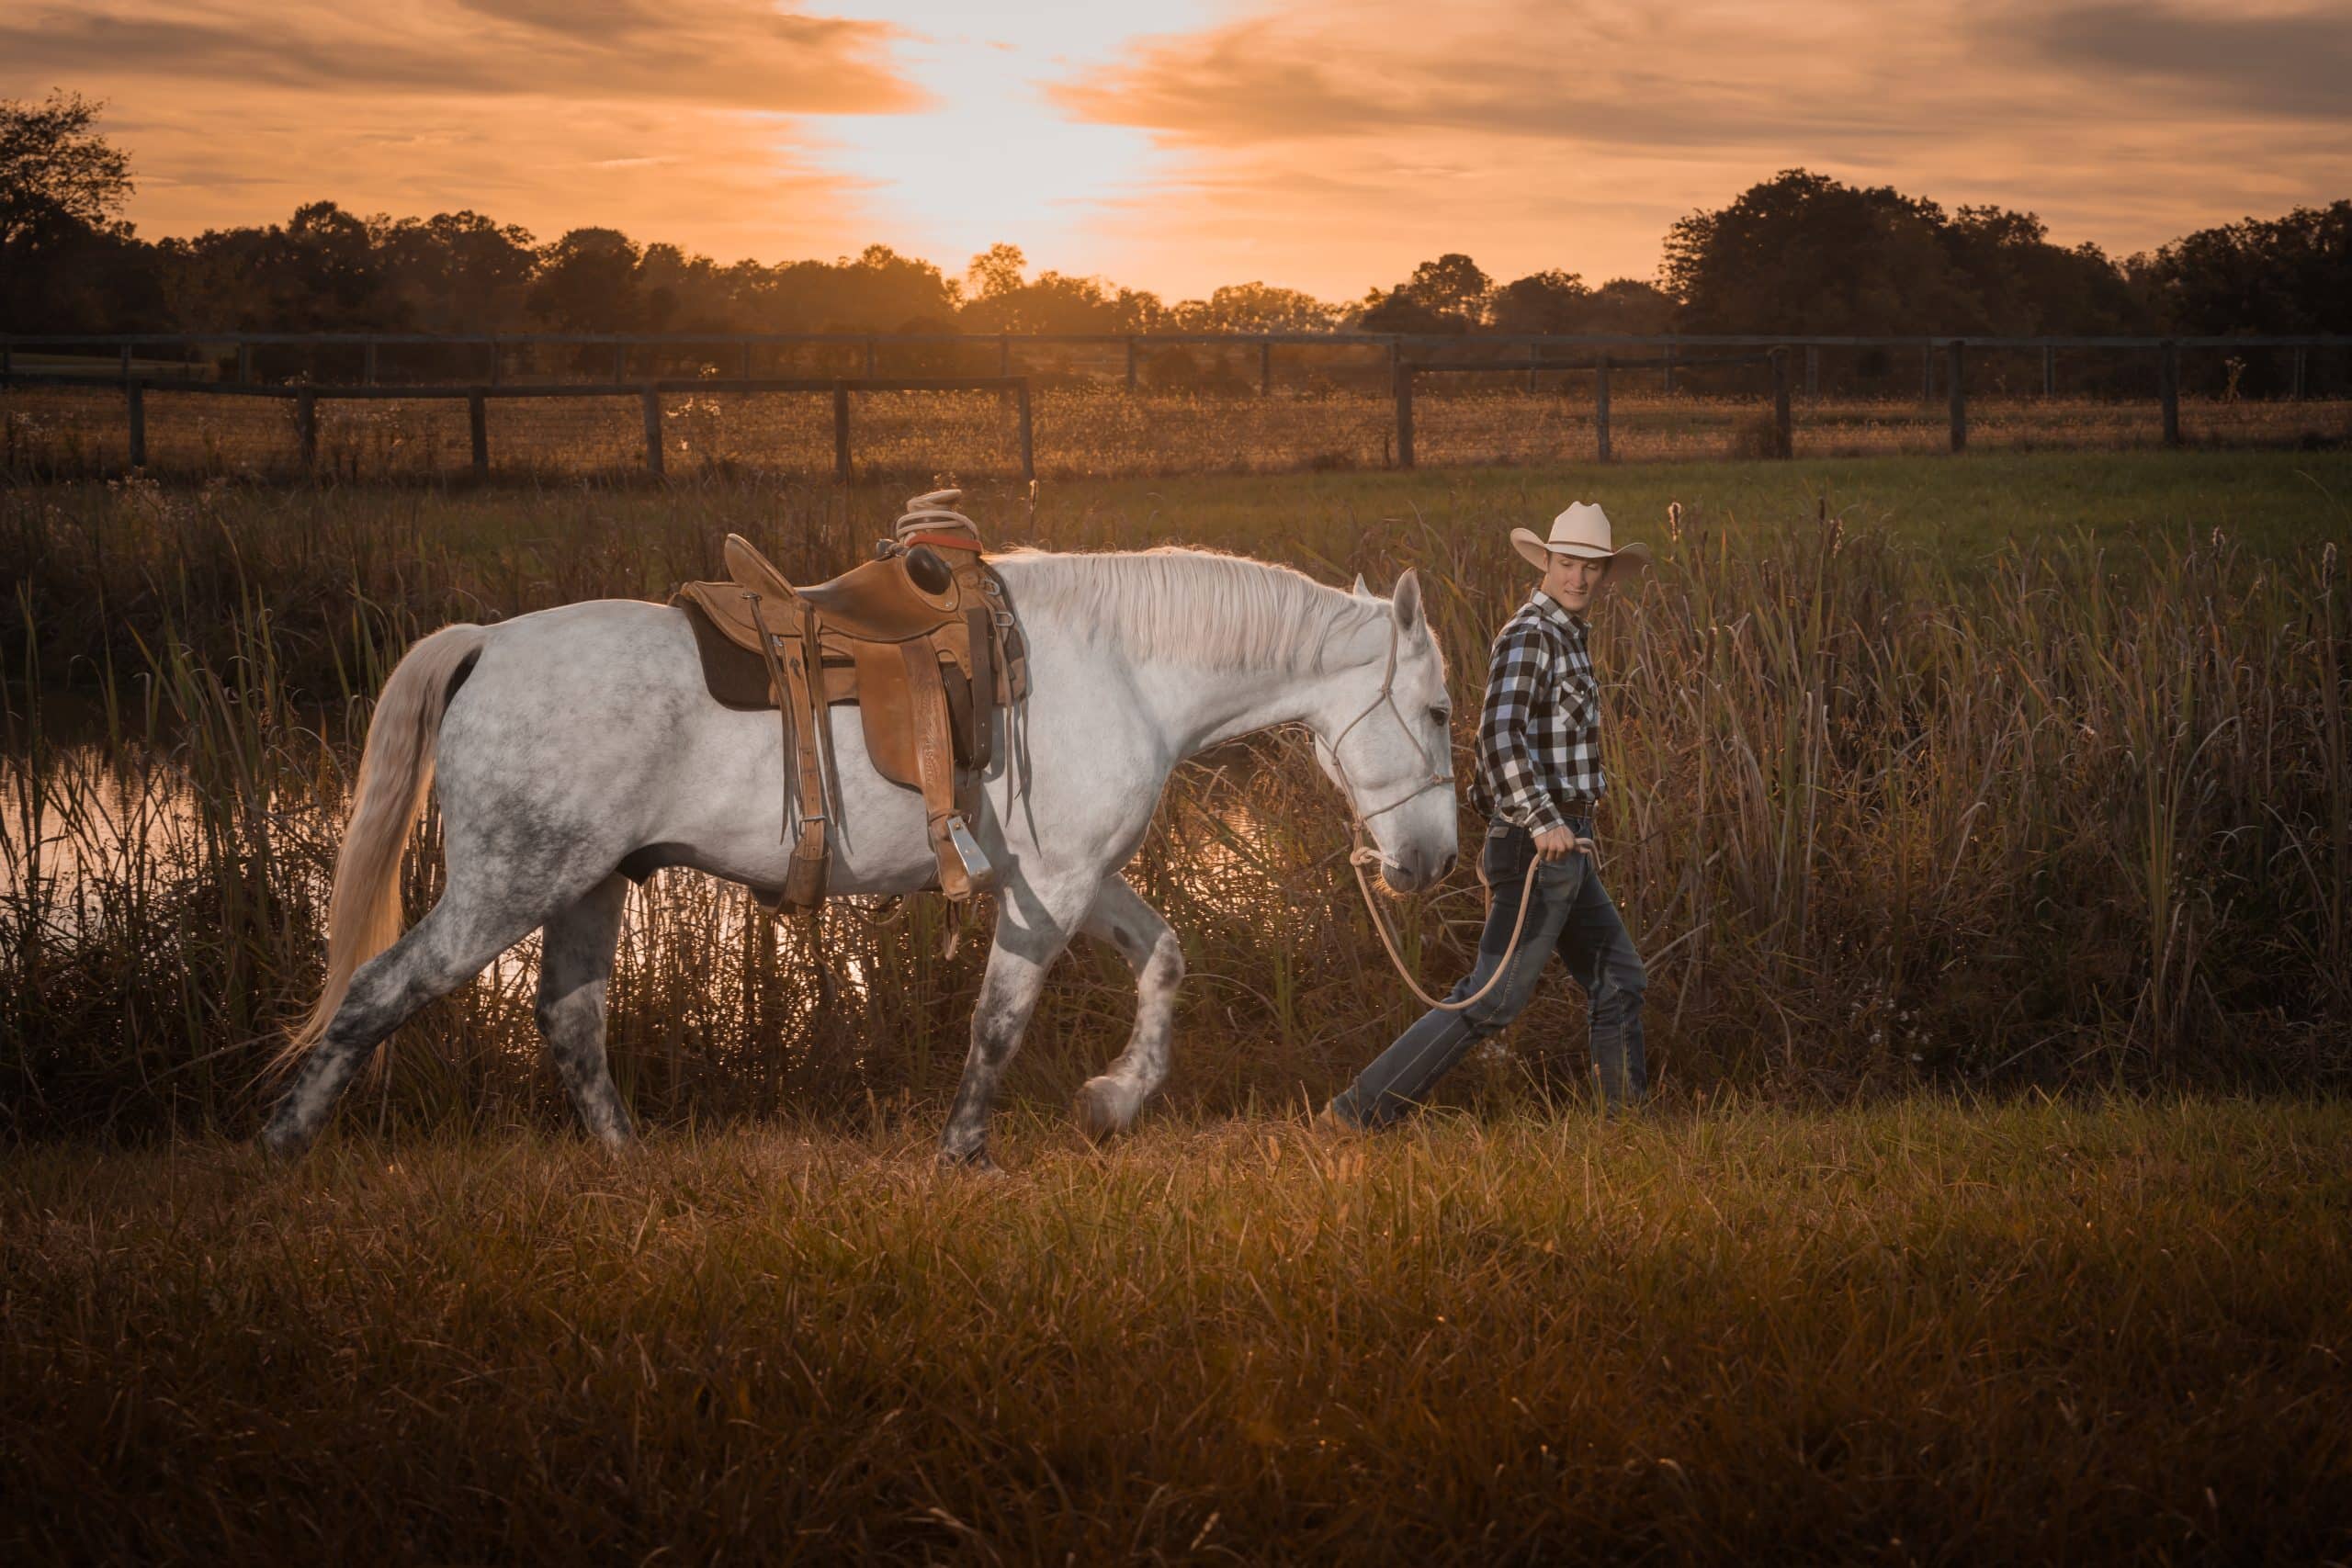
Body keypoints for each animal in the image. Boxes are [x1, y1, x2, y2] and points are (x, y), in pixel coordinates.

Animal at [259, 548, 1458, 1170]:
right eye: (1442, 711)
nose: (1434, 861)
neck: (1119, 666)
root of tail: (485, 644)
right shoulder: (1053, 885)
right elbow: (999, 1019)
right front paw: (965, 1150)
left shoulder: (1073, 878)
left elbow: (1163, 961)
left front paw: (1115, 1100)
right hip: (507, 887)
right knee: (375, 995)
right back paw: (281, 1146)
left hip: (587, 887)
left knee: (567, 1020)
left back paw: (629, 1164)